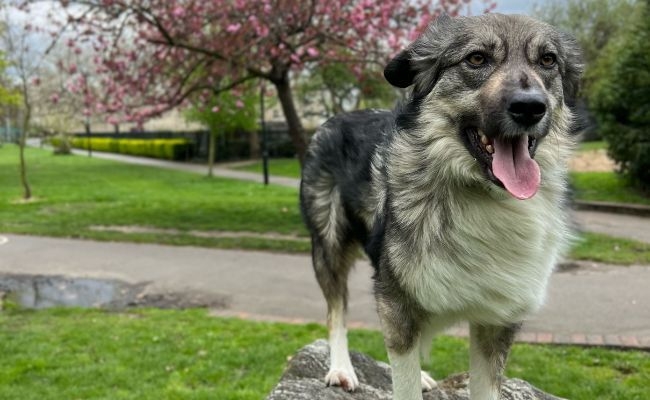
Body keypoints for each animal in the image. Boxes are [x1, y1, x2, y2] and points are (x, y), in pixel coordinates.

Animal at [300, 13, 584, 400]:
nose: (530, 107)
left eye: (548, 60)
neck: (481, 197)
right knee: (336, 312)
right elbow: (402, 380)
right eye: (476, 59)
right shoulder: (395, 301)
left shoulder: (497, 320)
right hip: (329, 245)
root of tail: (333, 120)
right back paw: (341, 369)